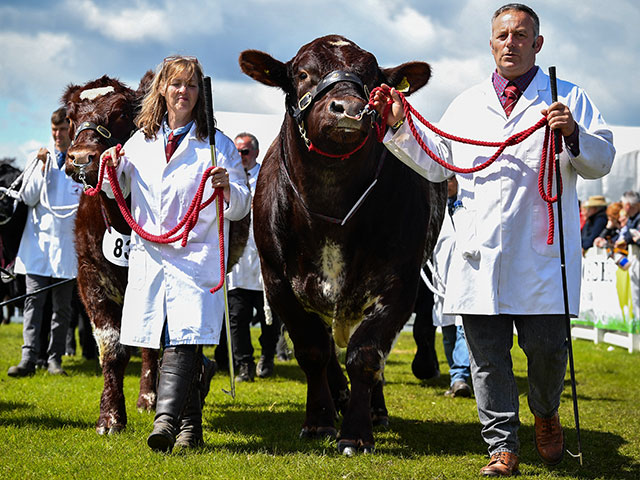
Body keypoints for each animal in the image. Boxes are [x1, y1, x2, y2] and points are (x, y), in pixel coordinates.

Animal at [240, 34, 444, 454]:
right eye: (303, 73)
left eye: (372, 78)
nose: (348, 108)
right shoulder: (278, 282)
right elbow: (314, 351)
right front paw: (319, 420)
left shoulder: (400, 284)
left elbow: (366, 354)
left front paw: (356, 432)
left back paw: (374, 410)